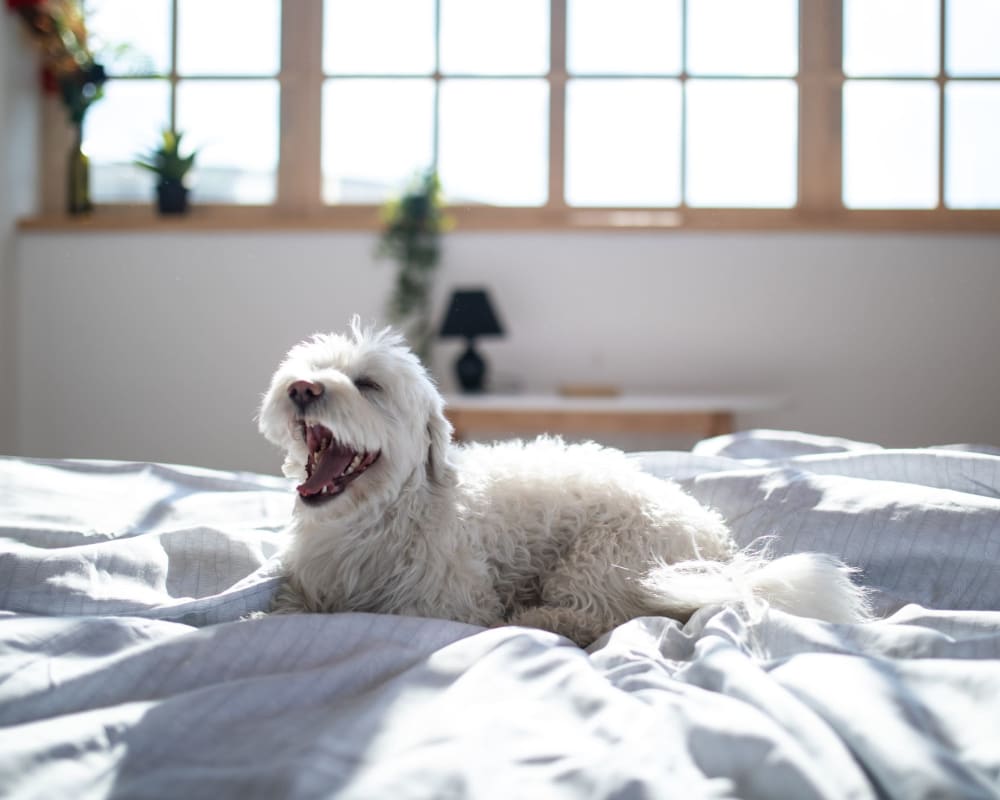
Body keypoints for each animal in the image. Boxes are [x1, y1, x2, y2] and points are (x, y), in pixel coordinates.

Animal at [262, 318, 872, 644]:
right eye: (309, 370)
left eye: (368, 385)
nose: (302, 389)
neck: (375, 520)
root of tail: (721, 552)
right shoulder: (306, 588)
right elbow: (284, 610)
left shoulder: (447, 605)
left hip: (604, 558)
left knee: (607, 615)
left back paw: (537, 619)